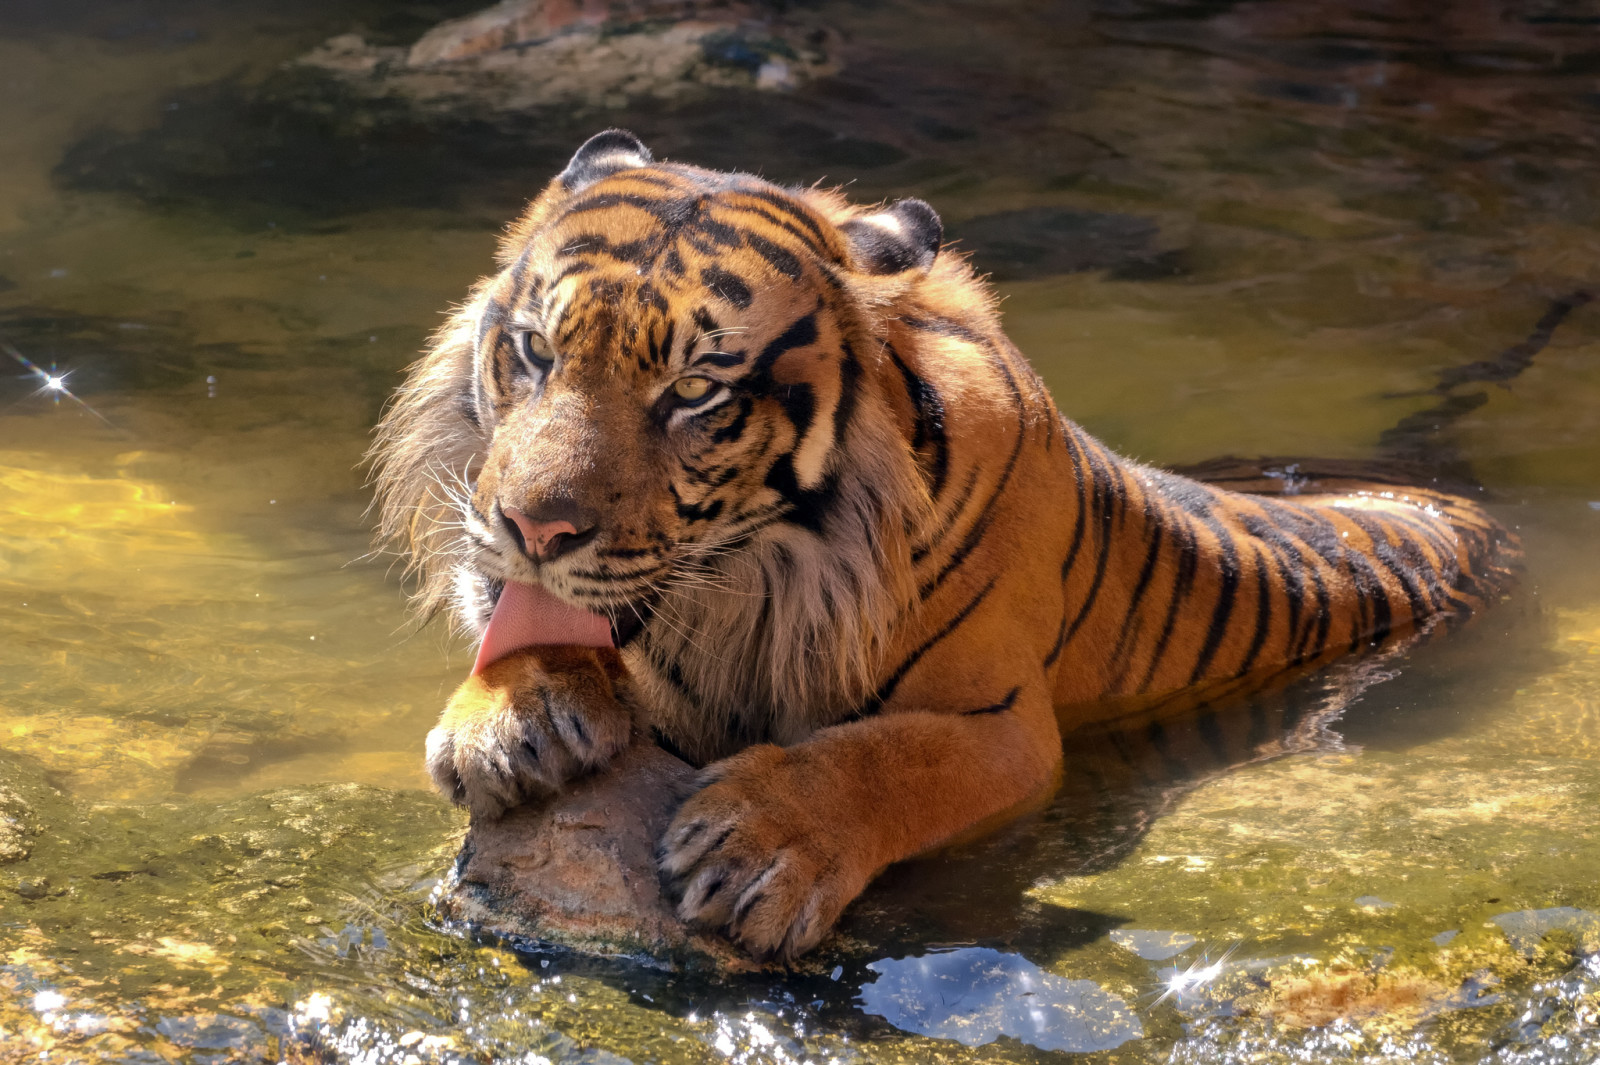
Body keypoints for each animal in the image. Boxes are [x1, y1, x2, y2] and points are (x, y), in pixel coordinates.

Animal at [368, 128, 1516, 959]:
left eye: (692, 392)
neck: (749, 584)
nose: (531, 527)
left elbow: (888, 757)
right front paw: (509, 718)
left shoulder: (1004, 723)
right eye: (535, 351)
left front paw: (758, 846)